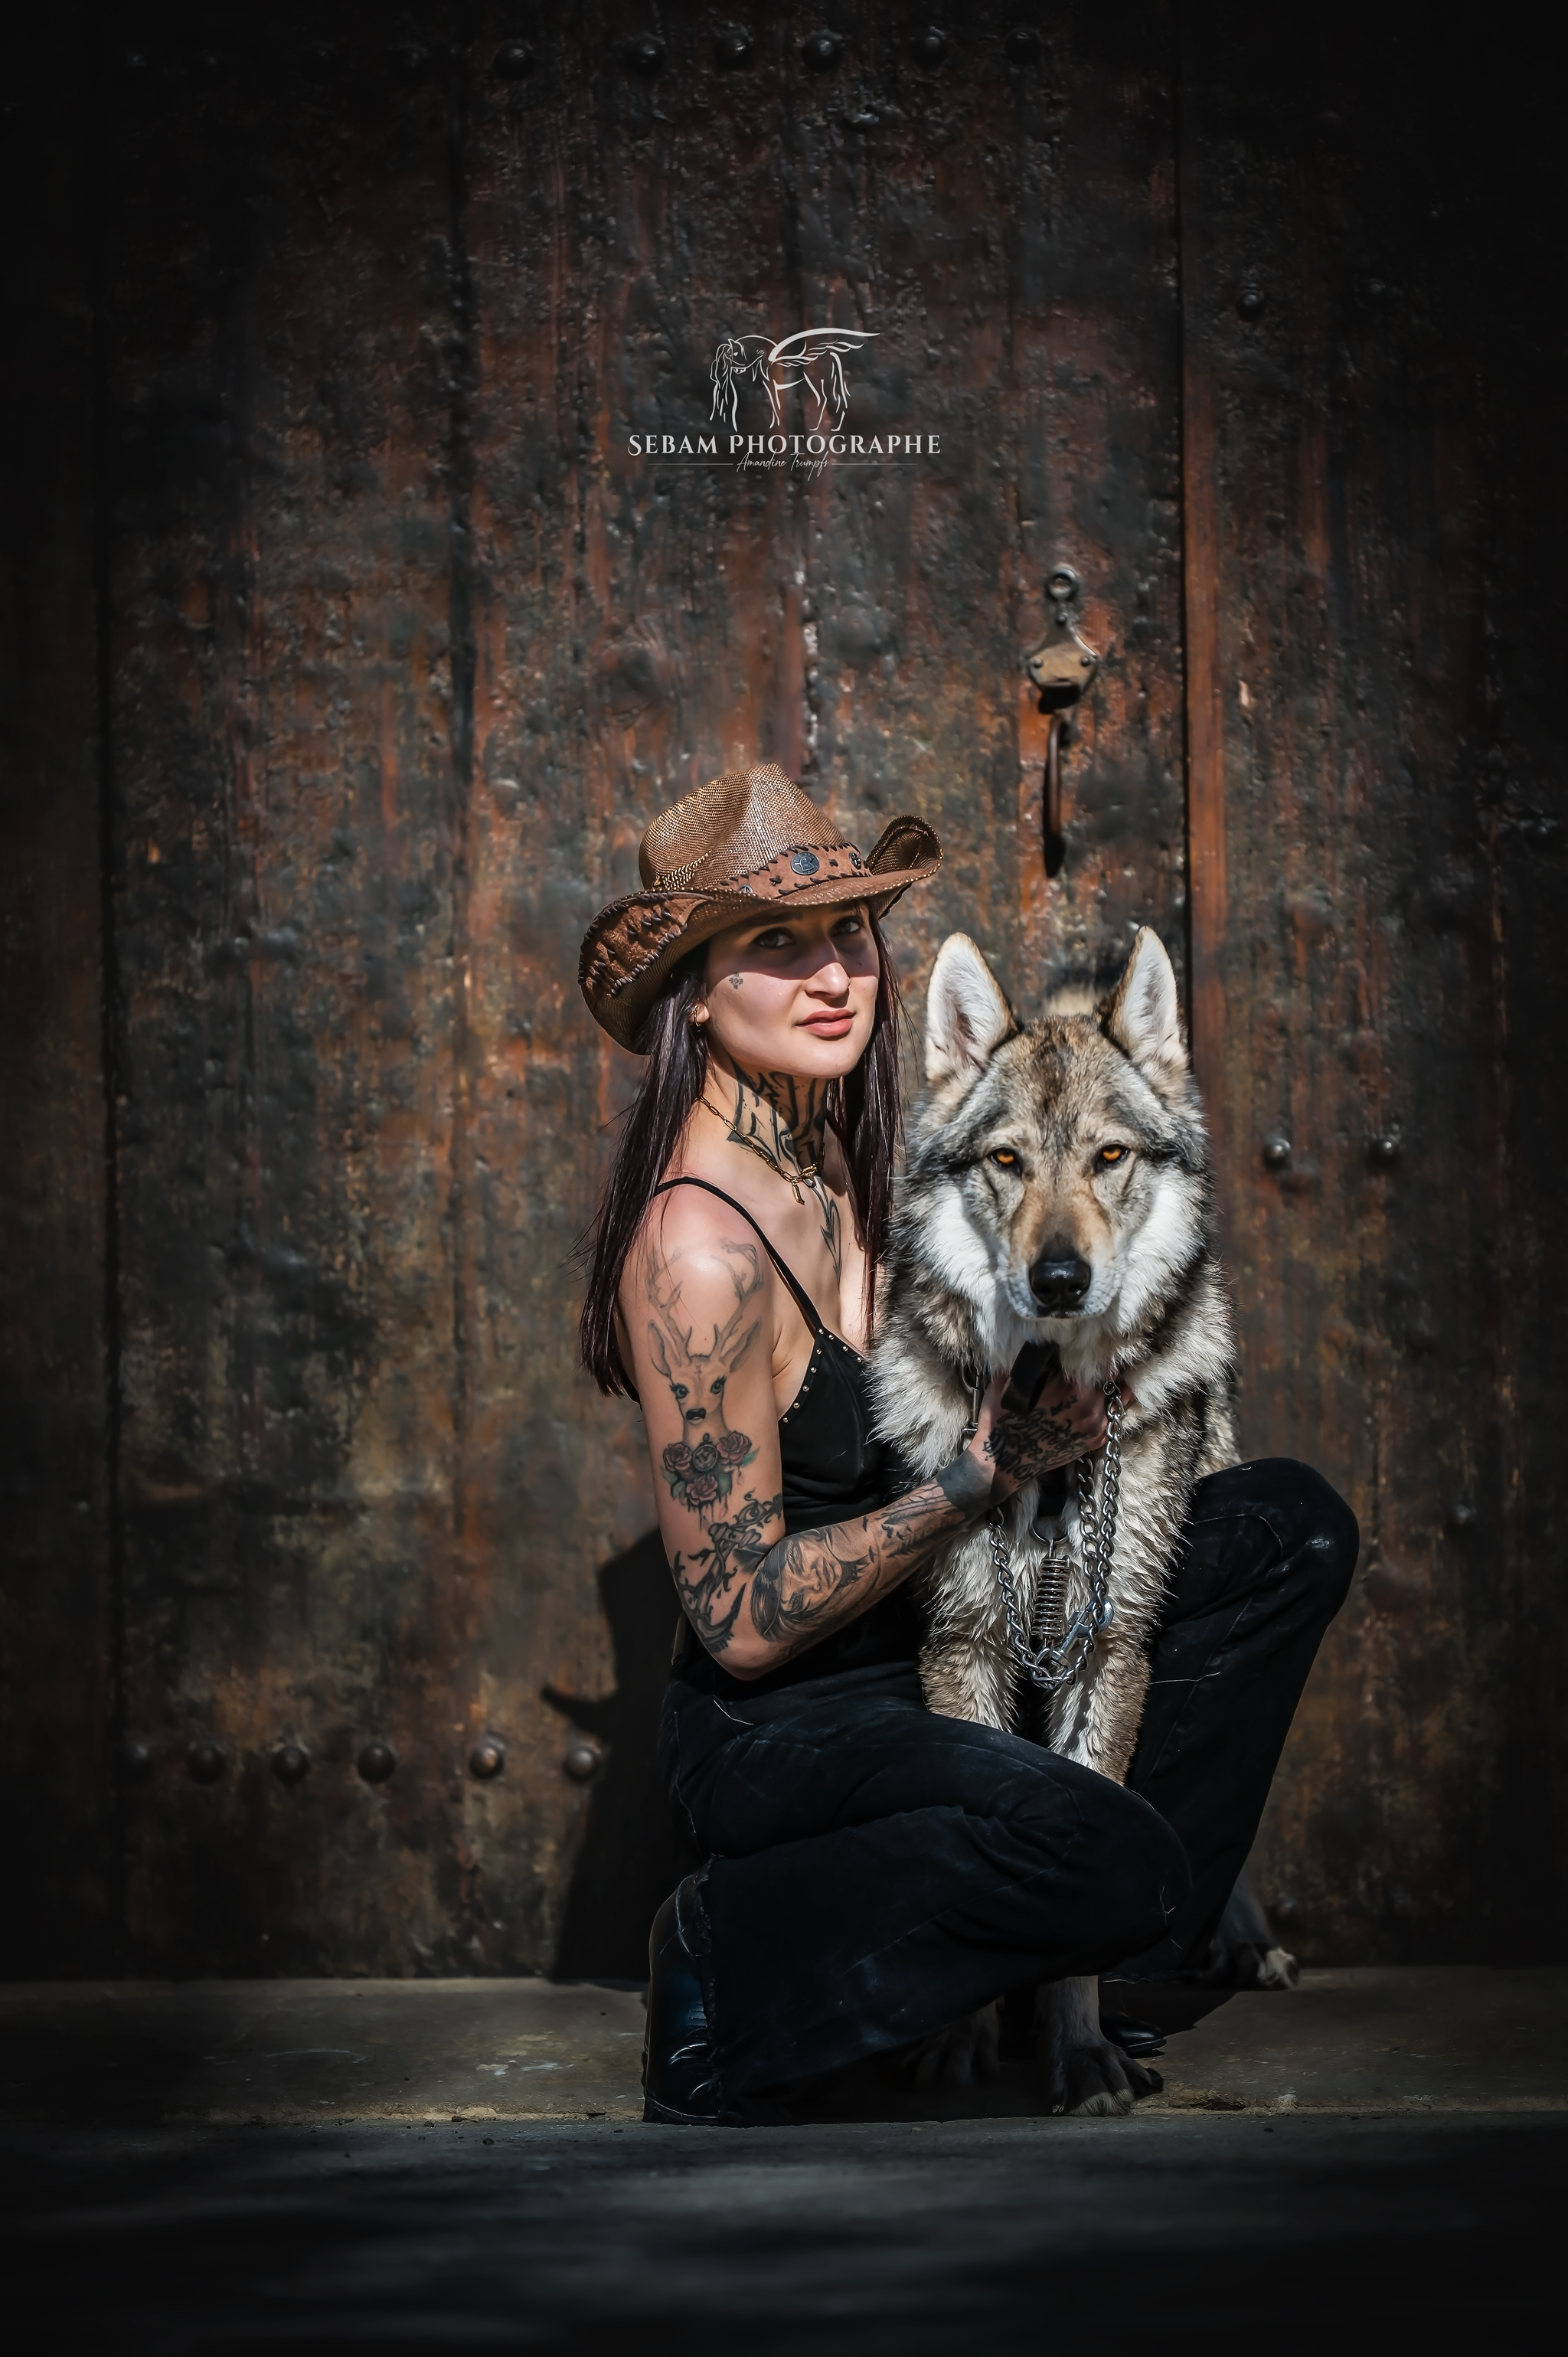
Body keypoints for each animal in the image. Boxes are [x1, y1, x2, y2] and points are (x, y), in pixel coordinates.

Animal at [869, 926, 1243, 2114]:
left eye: (1110, 1158)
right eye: (1007, 1163)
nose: (1062, 1277)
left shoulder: (1110, 1644)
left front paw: (1078, 2057)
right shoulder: (966, 1640)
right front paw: (960, 2045)